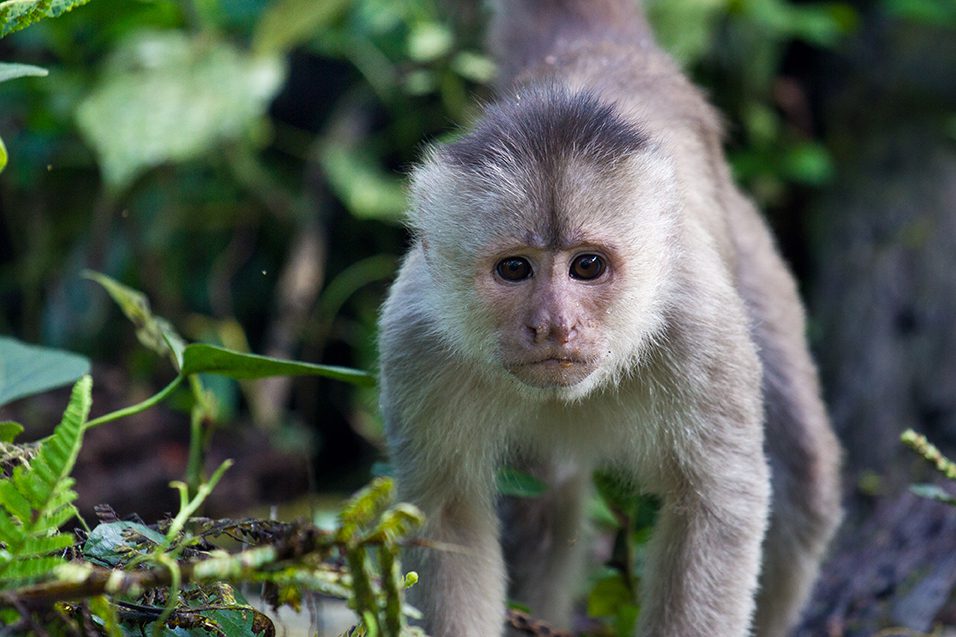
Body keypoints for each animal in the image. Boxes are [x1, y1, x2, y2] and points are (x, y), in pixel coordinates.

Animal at [377, 0, 842, 635]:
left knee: (805, 483)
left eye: (588, 266)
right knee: (545, 500)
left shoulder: (699, 324)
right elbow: (447, 515)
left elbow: (716, 504)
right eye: (515, 269)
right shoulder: (414, 342)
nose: (553, 325)